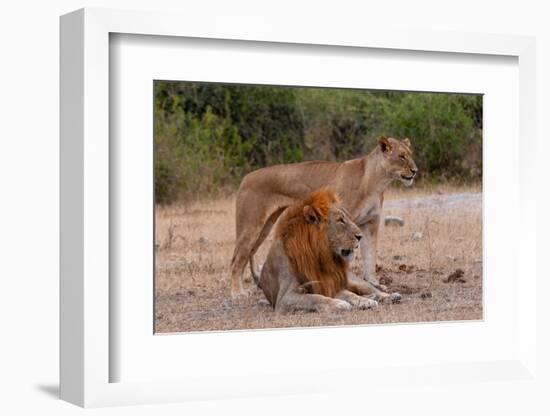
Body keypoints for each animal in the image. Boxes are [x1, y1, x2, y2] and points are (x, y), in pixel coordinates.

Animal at [232, 135, 418, 298]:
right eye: (401, 157)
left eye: (410, 154)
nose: (415, 171)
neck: (376, 182)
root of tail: (246, 177)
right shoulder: (345, 223)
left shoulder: (371, 224)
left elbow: (370, 255)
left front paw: (374, 283)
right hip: (250, 226)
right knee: (236, 259)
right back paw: (238, 293)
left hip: (265, 226)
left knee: (248, 254)